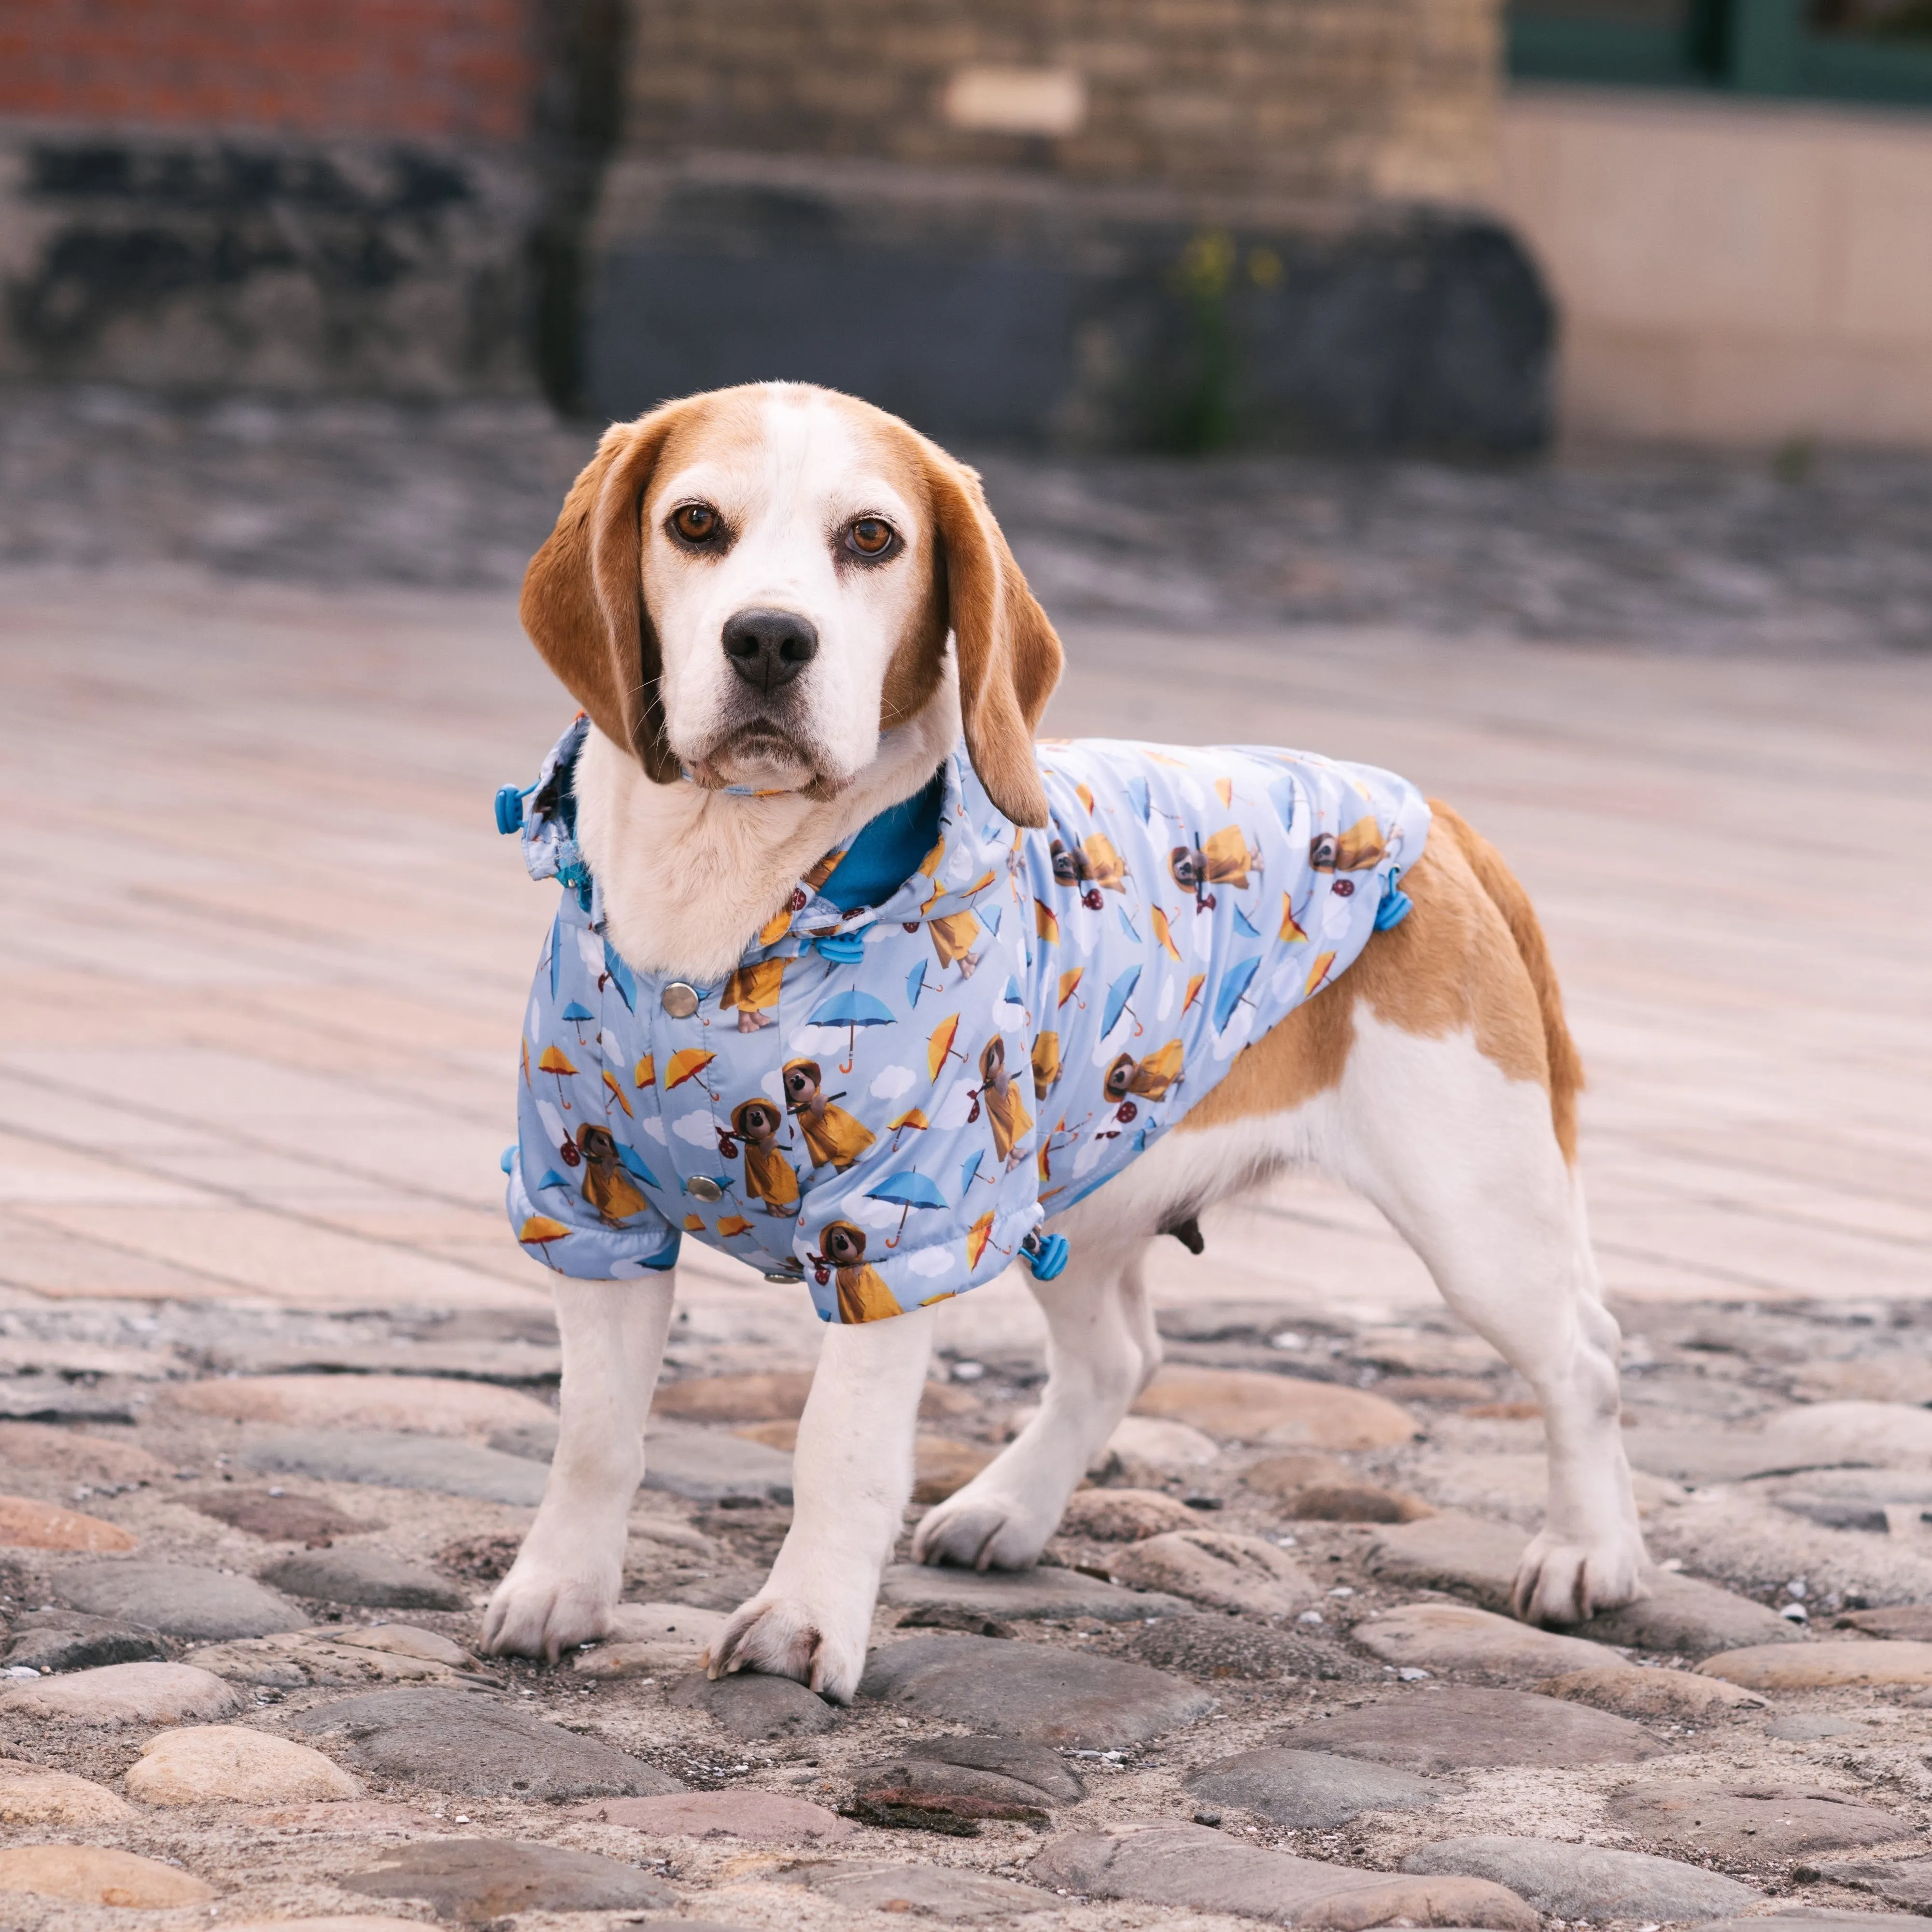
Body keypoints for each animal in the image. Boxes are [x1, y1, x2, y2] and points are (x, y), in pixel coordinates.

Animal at [483, 384, 1646, 1700]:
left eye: (871, 538)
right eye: (693, 523)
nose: (770, 640)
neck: (724, 892)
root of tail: (1428, 811)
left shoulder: (895, 1233)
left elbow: (838, 1445)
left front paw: (803, 1622)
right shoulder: (590, 1204)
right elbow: (593, 1433)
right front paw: (560, 1591)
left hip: (1474, 1213)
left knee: (1584, 1358)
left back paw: (1587, 1553)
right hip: (1067, 1202)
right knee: (1117, 1361)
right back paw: (1009, 1510)